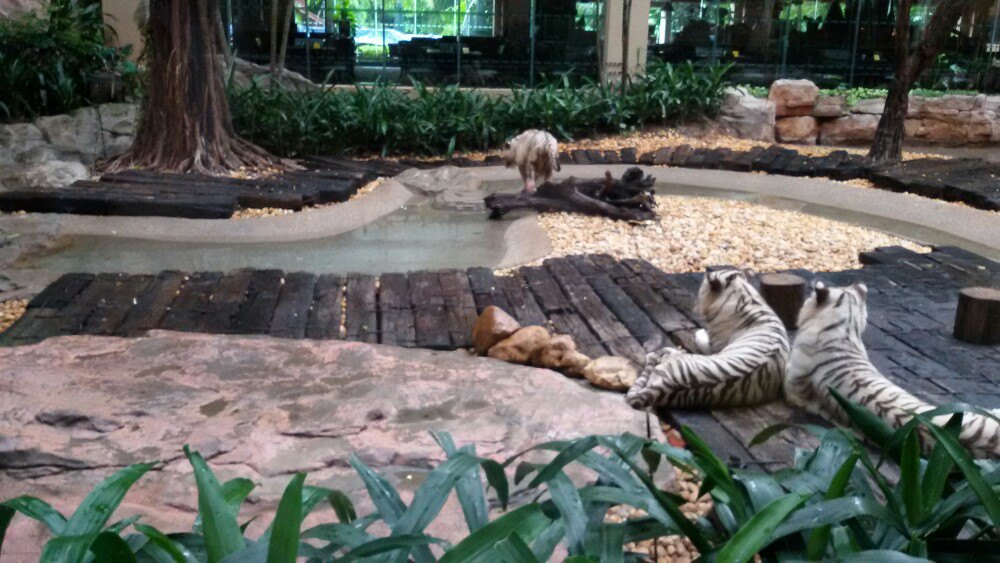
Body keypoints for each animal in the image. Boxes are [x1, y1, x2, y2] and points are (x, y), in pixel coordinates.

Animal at [625, 268, 790, 409]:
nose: (694, 305)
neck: (743, 294)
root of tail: (663, 387)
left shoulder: (714, 344)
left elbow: (700, 337)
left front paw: (699, 332)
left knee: (658, 357)